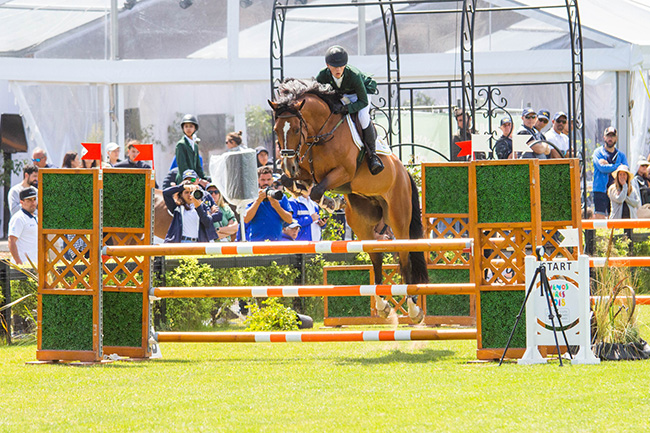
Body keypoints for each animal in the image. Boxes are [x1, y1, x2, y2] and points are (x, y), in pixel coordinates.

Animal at [266, 78, 428, 320]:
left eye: (295, 128)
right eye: (276, 129)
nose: (288, 165)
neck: (320, 134)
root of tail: (405, 172)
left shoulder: (344, 173)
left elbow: (316, 191)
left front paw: (331, 202)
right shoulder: (305, 172)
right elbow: (297, 185)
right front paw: (327, 201)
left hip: (398, 217)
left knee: (404, 255)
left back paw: (413, 309)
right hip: (362, 221)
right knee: (376, 255)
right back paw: (382, 305)